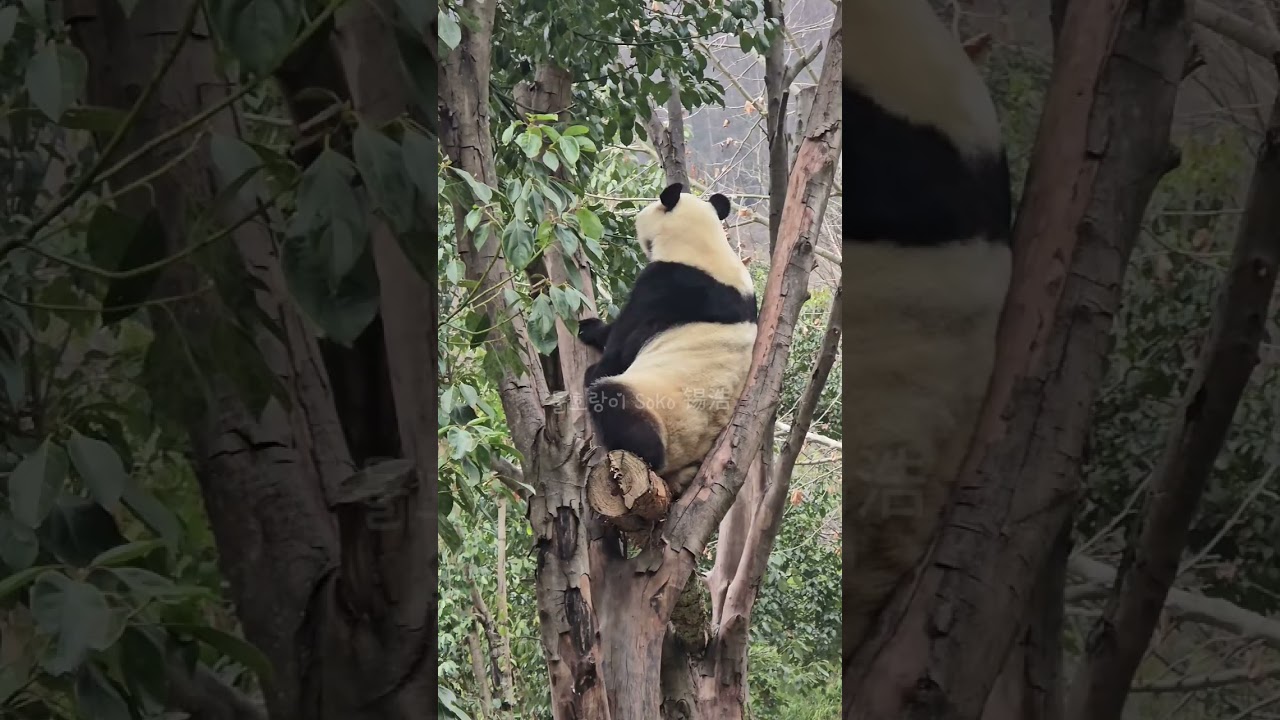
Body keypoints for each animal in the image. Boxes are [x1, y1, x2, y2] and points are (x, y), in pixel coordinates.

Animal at [579, 183, 758, 498]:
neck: (703, 248)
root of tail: (677, 467)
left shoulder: (662, 286)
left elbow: (622, 345)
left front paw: (593, 342)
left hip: (657, 408)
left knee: (614, 400)